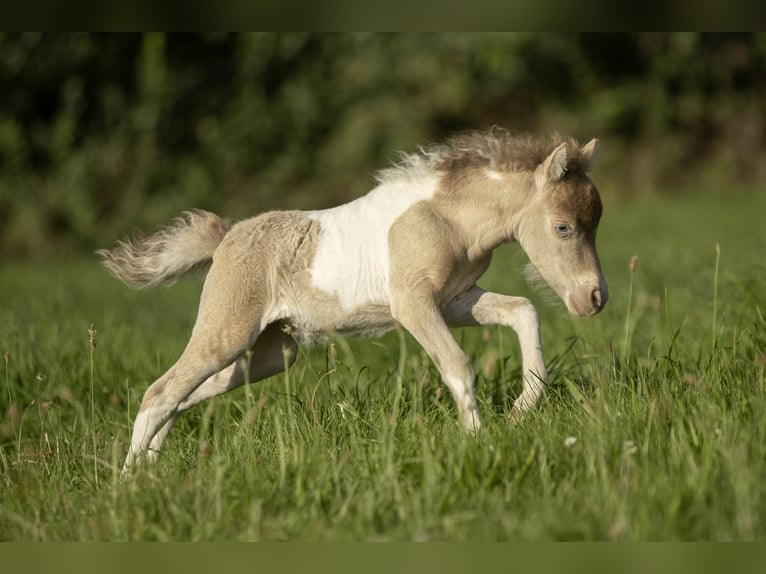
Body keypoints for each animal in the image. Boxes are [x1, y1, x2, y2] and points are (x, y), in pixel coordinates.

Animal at [99, 130, 608, 476]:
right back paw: (129, 482)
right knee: (160, 392)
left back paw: (151, 468)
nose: (594, 297)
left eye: (596, 222)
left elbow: (524, 309)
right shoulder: (413, 304)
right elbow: (458, 365)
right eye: (563, 227)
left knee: (186, 394)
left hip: (272, 353)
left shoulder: (455, 300)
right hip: (226, 334)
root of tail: (226, 236)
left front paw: (523, 408)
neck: (448, 218)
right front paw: (479, 442)